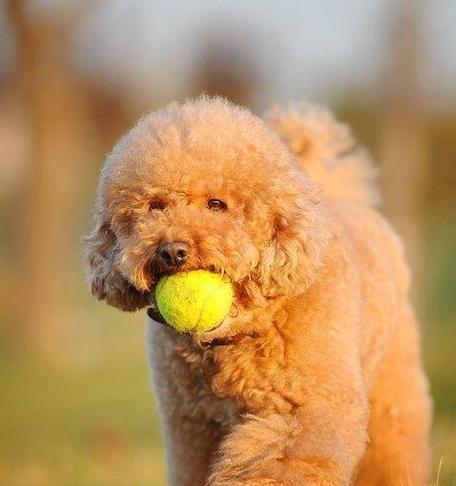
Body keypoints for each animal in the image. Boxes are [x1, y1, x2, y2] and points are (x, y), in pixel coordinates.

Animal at [84, 97, 432, 484]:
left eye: (217, 204)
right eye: (154, 206)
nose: (172, 251)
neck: (238, 332)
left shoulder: (304, 409)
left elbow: (280, 463)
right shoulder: (193, 426)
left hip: (393, 379)